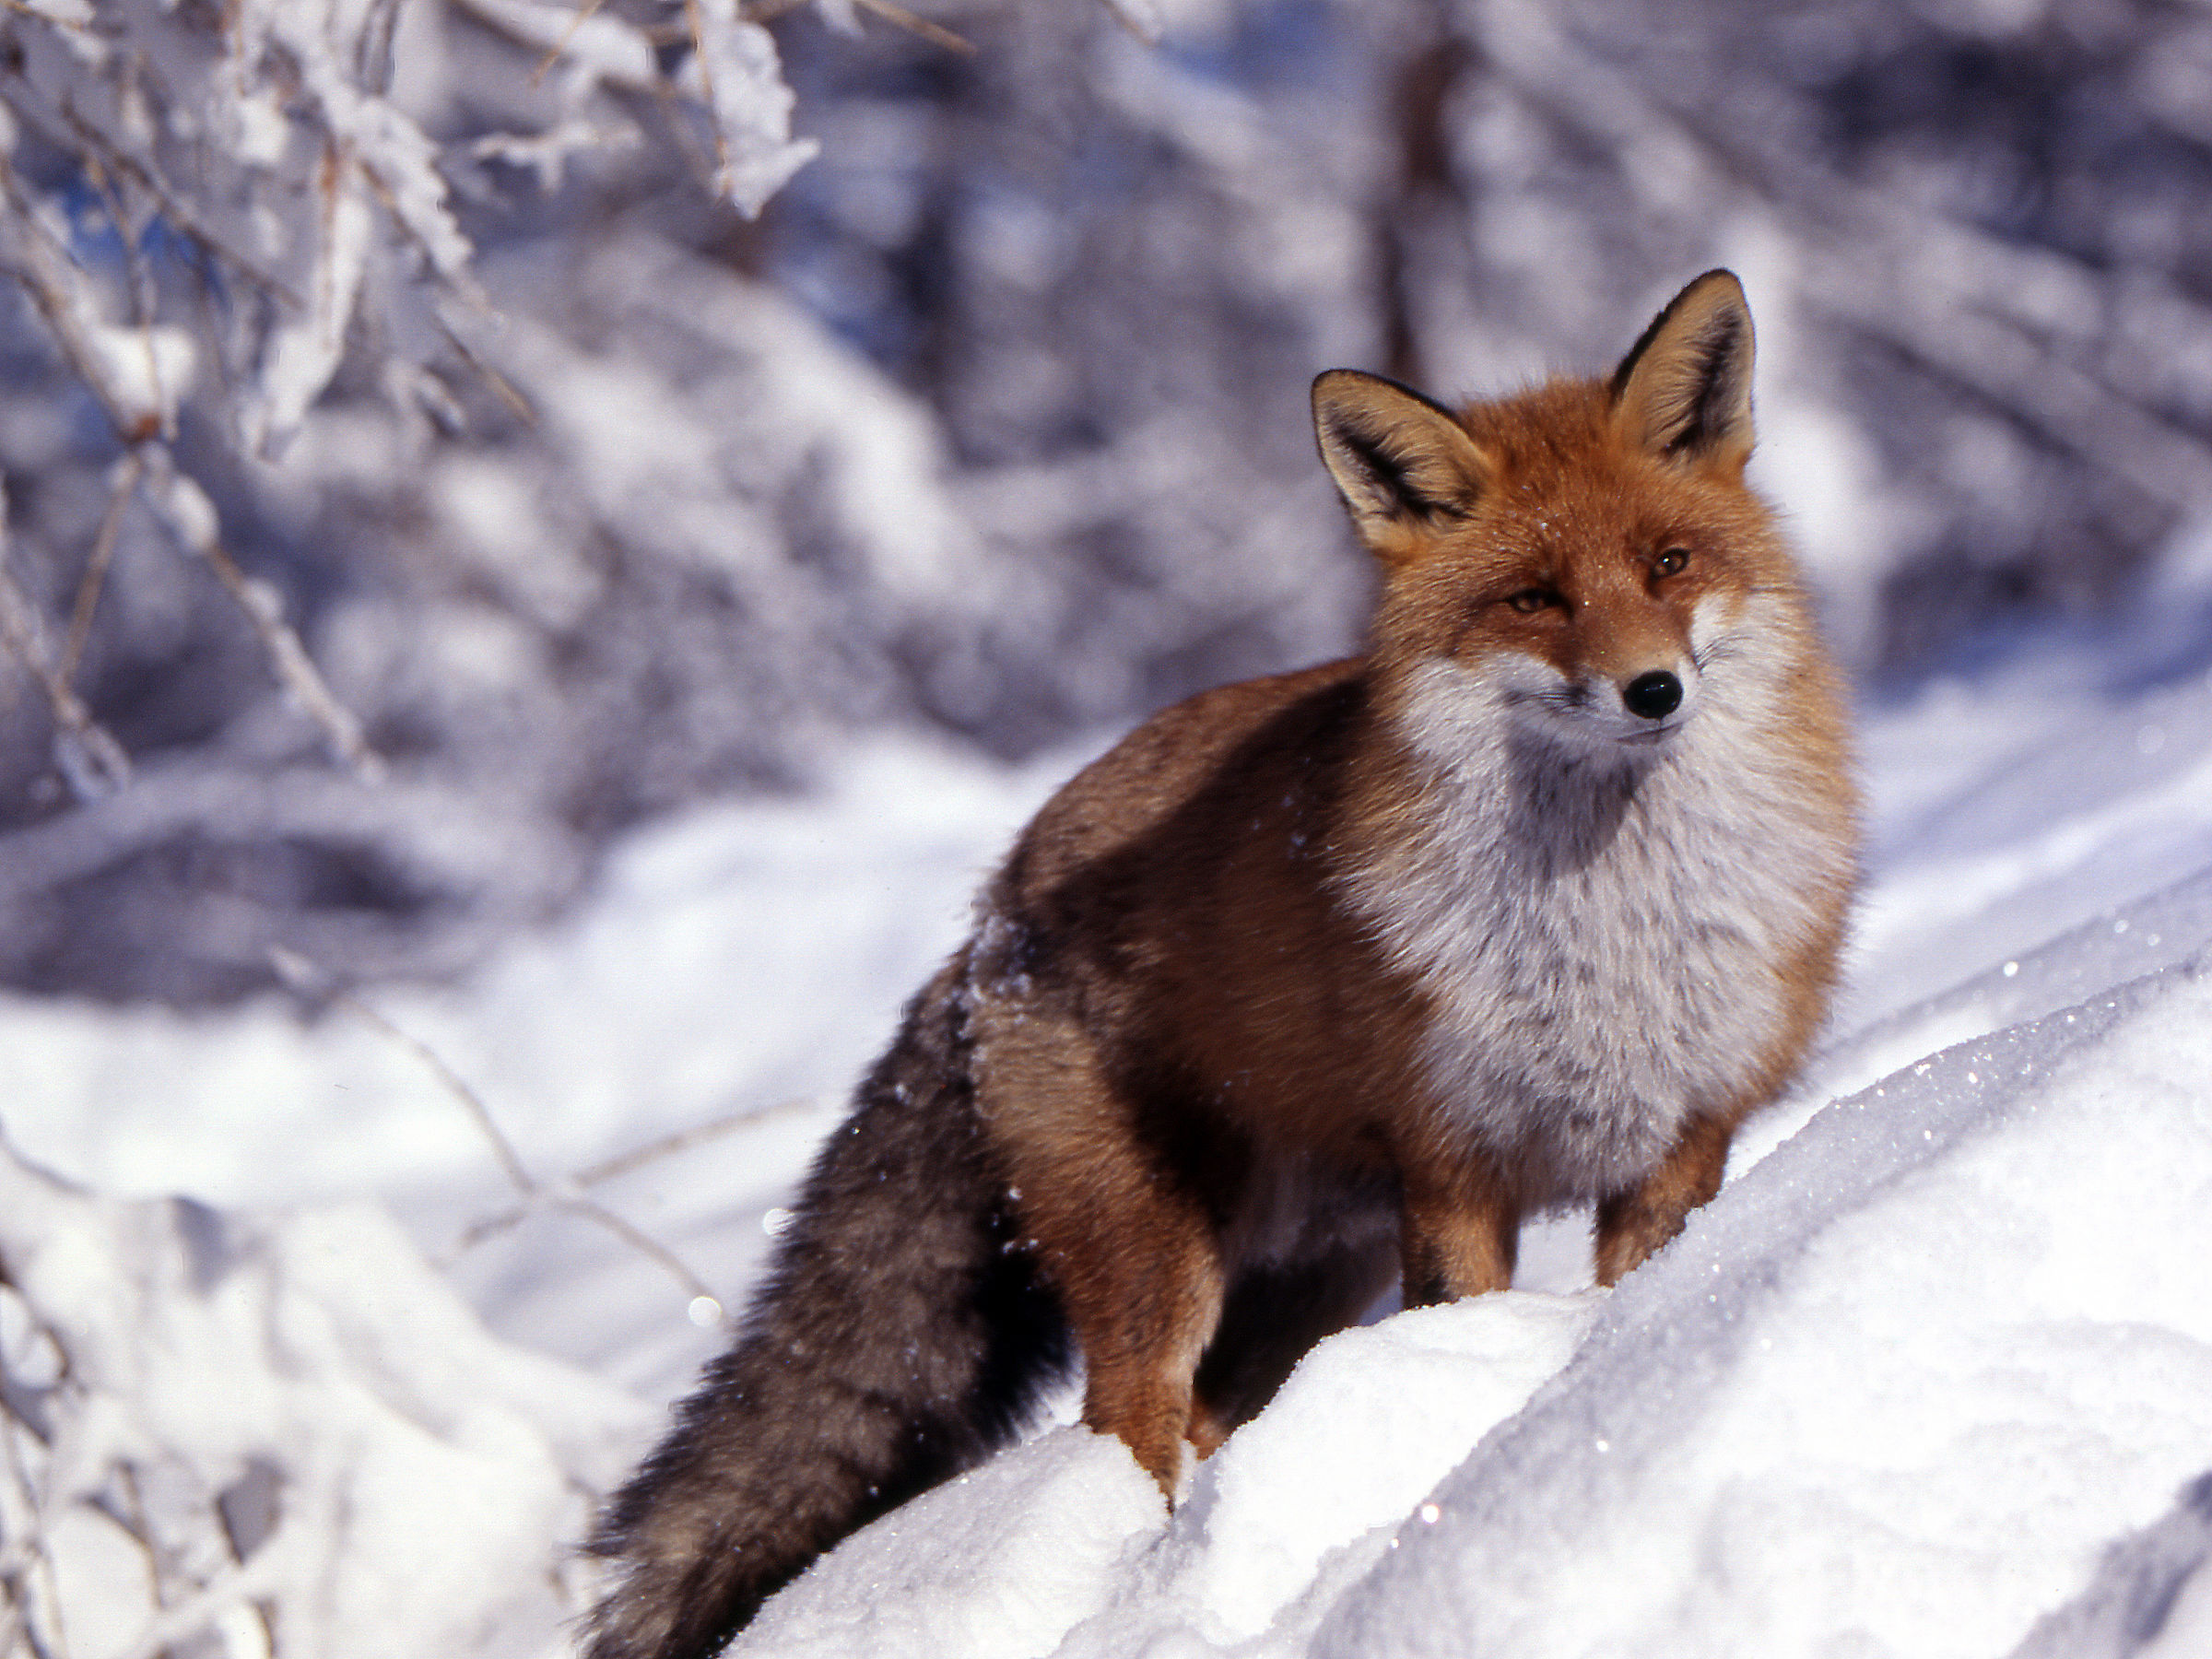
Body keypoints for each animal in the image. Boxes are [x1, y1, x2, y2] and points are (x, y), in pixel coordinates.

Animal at [581, 269, 1858, 1659]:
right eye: (1535, 598)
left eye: (1669, 564)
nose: (1653, 692)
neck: (1609, 934)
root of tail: (989, 912)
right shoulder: (1455, 1166)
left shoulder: (1683, 1139)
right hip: (1163, 1268)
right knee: (1129, 1425)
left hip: (1314, 1279)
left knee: (1201, 1421)